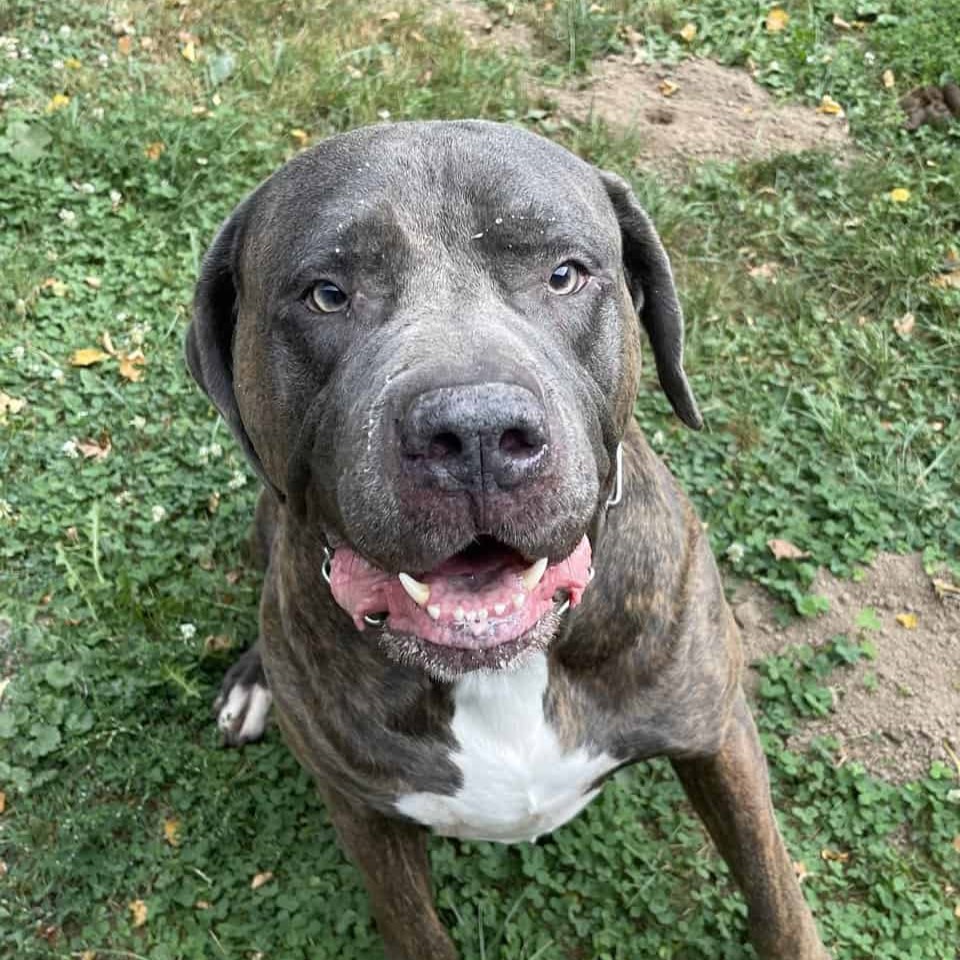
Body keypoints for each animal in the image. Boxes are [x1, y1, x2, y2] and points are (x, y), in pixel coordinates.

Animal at [186, 120, 829, 959]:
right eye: (327, 293)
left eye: (563, 275)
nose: (476, 434)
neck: (503, 673)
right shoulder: (364, 816)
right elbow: (416, 930)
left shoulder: (717, 734)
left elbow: (775, 896)